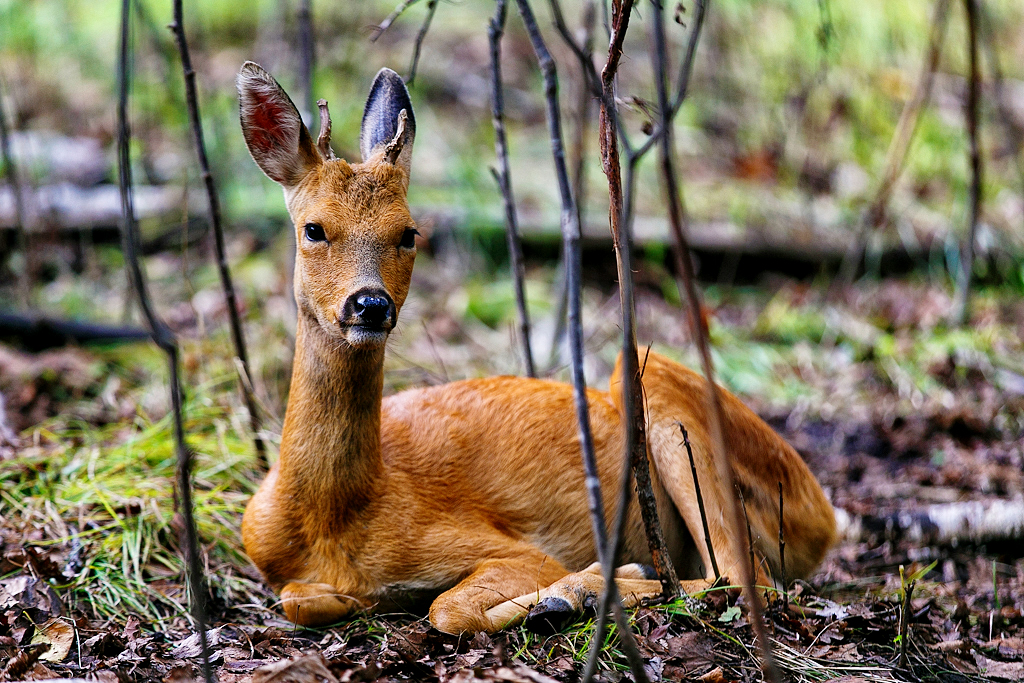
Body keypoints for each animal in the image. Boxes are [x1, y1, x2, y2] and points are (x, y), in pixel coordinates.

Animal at [235, 62, 835, 634]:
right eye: (313, 229)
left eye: (408, 233)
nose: (370, 304)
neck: (336, 519)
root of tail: (827, 518)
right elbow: (297, 599)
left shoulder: (506, 546)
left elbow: (448, 608)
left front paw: (565, 590)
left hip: (659, 387)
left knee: (745, 578)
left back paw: (583, 590)